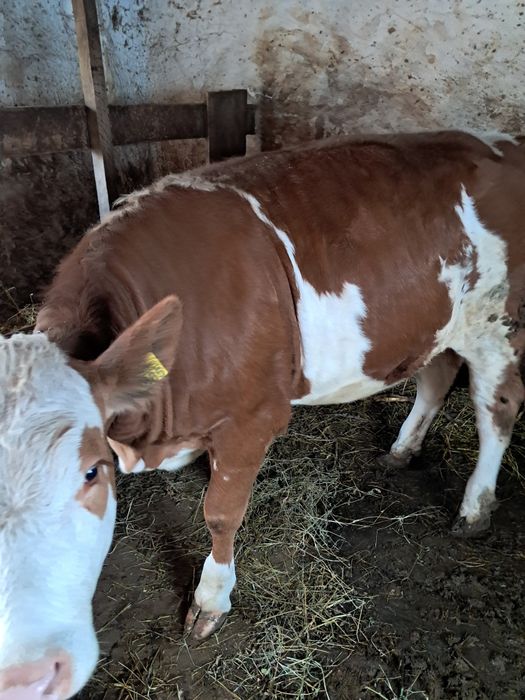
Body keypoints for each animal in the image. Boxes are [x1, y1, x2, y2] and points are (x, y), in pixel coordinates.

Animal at [0, 130, 524, 699]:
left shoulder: (252, 417)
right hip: (437, 325)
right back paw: (403, 449)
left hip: (498, 324)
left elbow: (221, 512)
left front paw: (210, 600)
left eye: (92, 472)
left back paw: (475, 507)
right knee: (437, 374)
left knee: (498, 407)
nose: (27, 676)